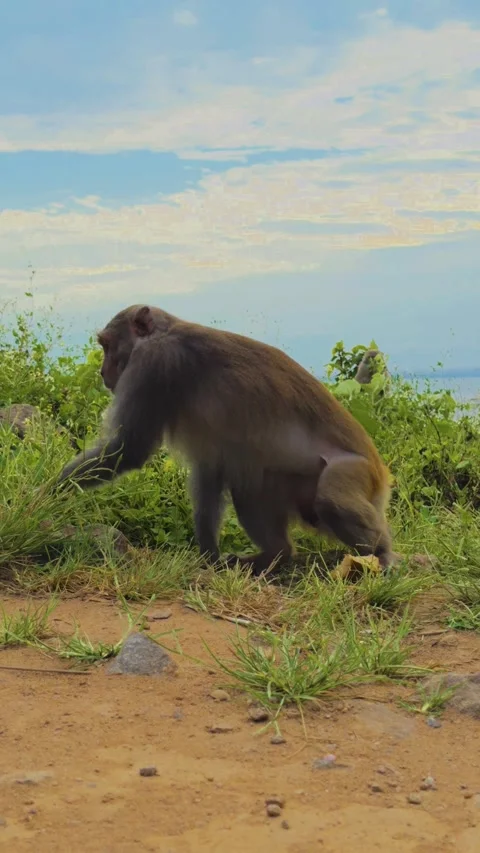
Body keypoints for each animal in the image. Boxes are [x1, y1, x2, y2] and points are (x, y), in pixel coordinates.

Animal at [56, 305, 394, 575]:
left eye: (108, 346)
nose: (103, 372)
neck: (164, 333)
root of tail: (381, 474)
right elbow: (209, 472)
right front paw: (209, 555)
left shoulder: (153, 365)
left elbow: (129, 449)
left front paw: (48, 494)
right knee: (248, 490)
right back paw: (276, 555)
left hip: (356, 471)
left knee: (331, 499)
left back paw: (382, 555)